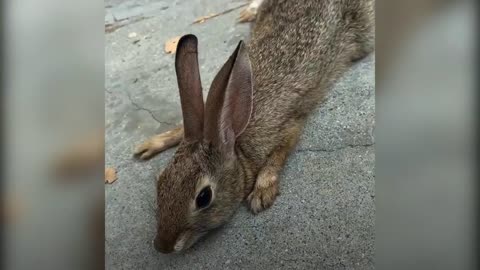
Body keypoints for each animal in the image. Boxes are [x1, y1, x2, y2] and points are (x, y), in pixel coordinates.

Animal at [134, 0, 376, 253]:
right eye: (160, 182)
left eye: (203, 197)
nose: (162, 246)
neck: (234, 137)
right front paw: (150, 145)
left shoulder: (288, 125)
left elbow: (279, 154)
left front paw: (261, 192)